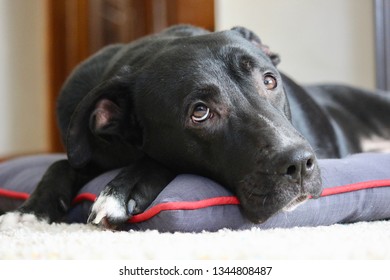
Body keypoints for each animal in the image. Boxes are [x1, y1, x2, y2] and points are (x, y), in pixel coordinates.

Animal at [0, 25, 390, 229]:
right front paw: (34, 208)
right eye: (199, 113)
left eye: (269, 80)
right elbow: (60, 162)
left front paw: (122, 189)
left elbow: (156, 160)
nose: (299, 164)